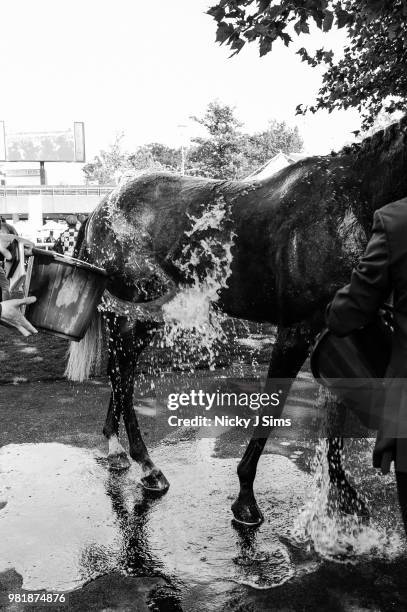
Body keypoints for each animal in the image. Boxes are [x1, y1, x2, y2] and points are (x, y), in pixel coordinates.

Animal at [68, 118, 407, 524]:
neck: (351, 199)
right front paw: (246, 498)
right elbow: (271, 407)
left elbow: (336, 419)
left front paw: (343, 499)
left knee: (122, 372)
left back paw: (117, 450)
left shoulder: (340, 328)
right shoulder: (297, 329)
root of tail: (99, 208)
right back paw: (146, 465)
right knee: (123, 375)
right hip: (133, 314)